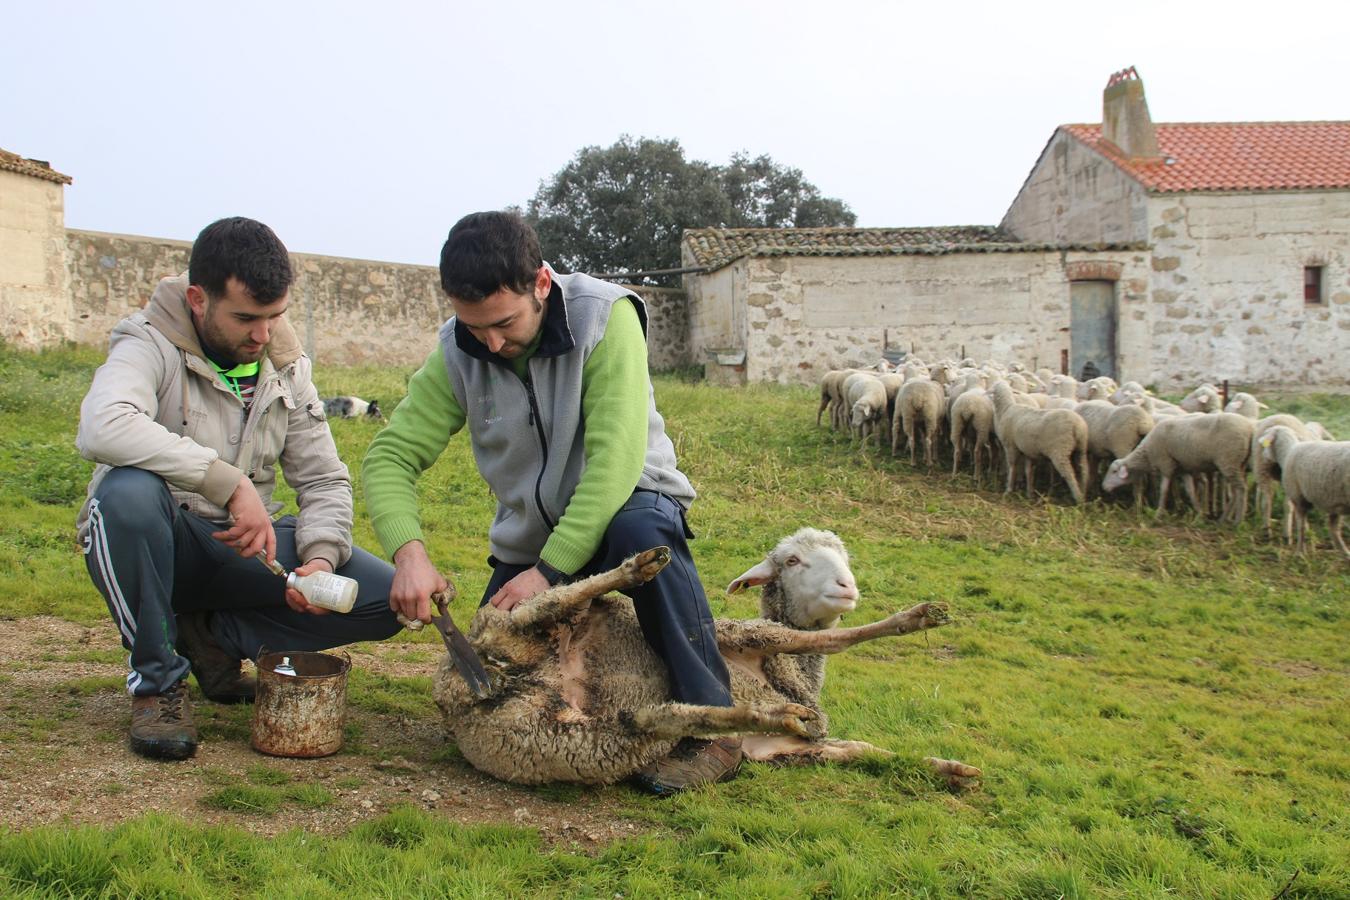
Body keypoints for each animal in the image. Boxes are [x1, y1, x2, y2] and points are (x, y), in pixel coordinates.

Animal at [432, 534, 981, 786]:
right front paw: (916, 617)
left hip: (575, 740)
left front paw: (951, 767)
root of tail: (466, 691)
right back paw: (637, 568)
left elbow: (861, 749)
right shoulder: (744, 634)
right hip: (523, 622)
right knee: (568, 596)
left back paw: (775, 715)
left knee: (658, 717)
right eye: (793, 561)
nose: (846, 587)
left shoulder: (779, 753)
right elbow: (832, 641)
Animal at [1102, 413, 1255, 523]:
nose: (1103, 487)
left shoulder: (1166, 465)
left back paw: (1238, 521)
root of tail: (1249, 428)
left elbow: (1164, 490)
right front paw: (1199, 513)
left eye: (1114, 471)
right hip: (1237, 464)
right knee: (1236, 491)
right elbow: (1190, 491)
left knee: (1241, 489)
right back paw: (1224, 518)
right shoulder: (1183, 470)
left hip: (1229, 461)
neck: (1146, 453)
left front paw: (1158, 514)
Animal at [1259, 427, 1350, 560]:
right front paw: (1345, 552)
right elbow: (1334, 529)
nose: (1264, 456)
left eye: (1266, 443)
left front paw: (1300, 552)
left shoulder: (1298, 498)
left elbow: (1301, 526)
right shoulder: (1334, 503)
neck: (1287, 452)